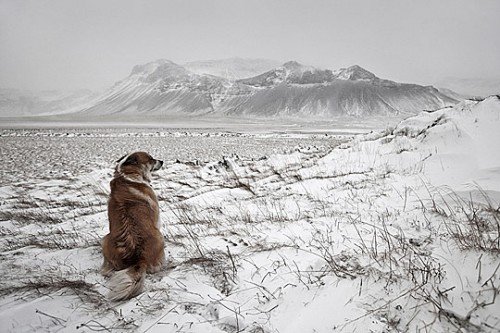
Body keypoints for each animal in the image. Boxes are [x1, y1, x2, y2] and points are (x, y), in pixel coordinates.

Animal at [100, 151, 165, 300]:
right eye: (151, 159)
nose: (162, 161)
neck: (128, 174)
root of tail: (138, 259)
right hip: (160, 237)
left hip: (105, 238)